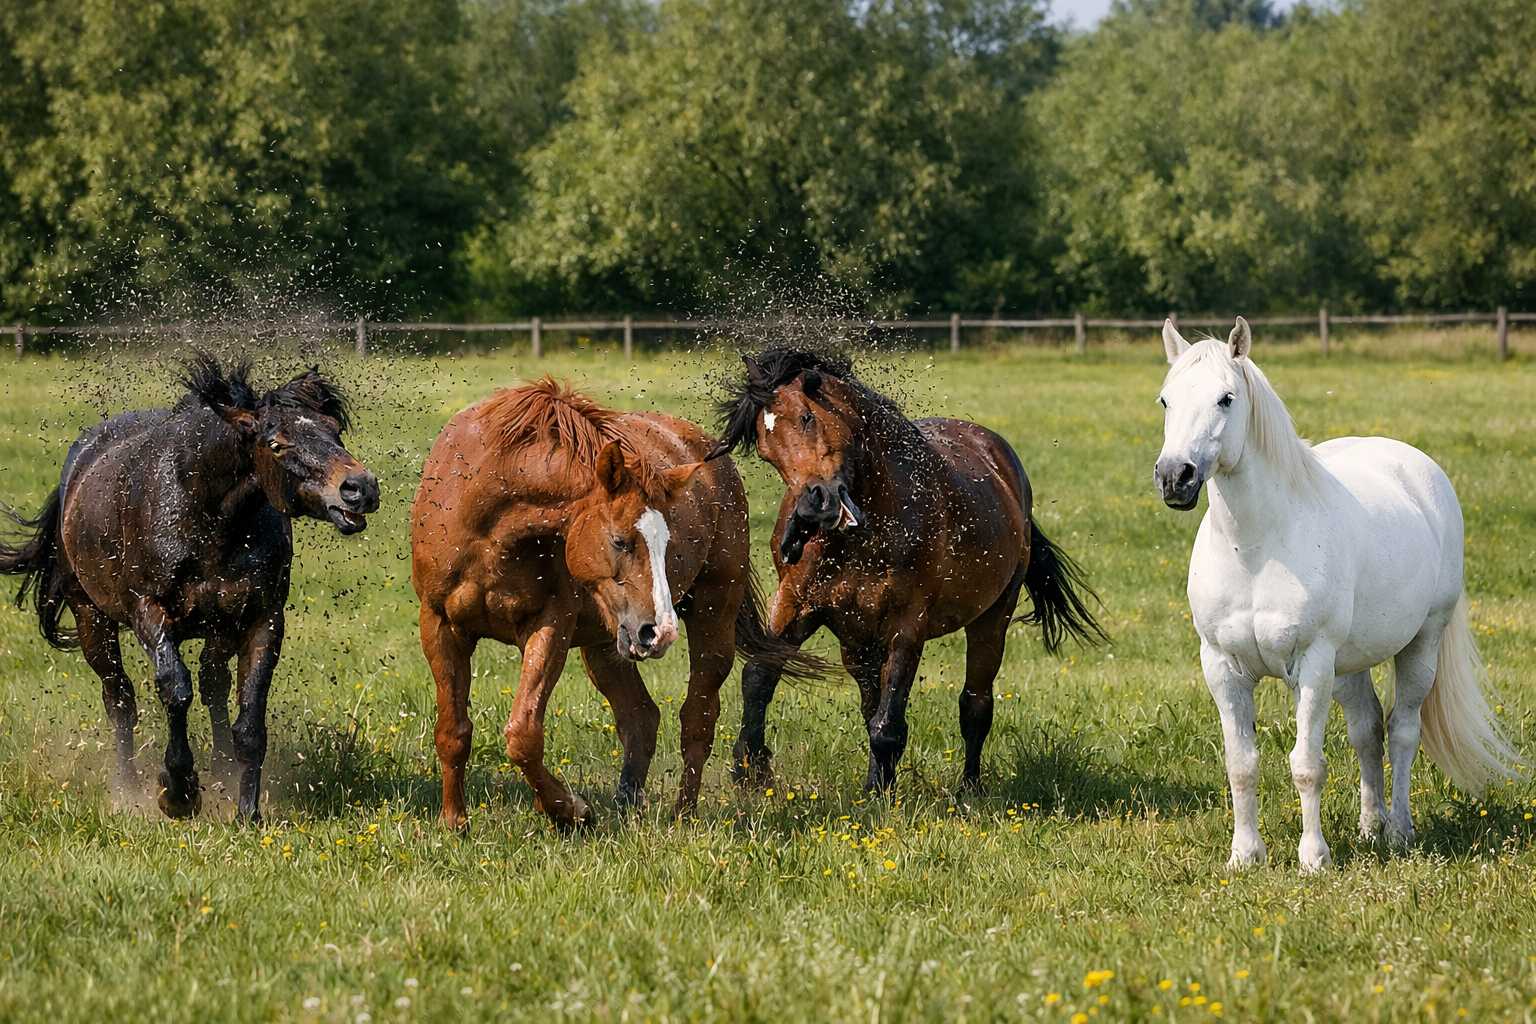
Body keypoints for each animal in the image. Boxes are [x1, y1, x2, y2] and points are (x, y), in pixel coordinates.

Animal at [0, 353, 379, 821]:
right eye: (276, 444)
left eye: (333, 429)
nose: (360, 489)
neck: (206, 516)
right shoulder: (149, 611)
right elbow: (175, 690)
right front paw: (178, 791)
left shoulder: (261, 619)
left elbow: (249, 719)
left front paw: (247, 812)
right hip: (92, 618)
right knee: (119, 697)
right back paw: (127, 789)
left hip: (218, 629)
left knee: (213, 684)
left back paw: (220, 771)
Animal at [410, 377, 820, 831]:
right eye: (621, 541)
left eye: (667, 543)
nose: (660, 630)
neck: (489, 523)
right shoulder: (440, 626)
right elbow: (453, 730)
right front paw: (454, 821)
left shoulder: (548, 626)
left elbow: (523, 734)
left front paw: (568, 810)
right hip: (608, 644)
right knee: (641, 717)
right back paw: (626, 805)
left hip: (711, 617)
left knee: (697, 718)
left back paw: (682, 813)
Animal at [711, 348, 1107, 793]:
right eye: (765, 450)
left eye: (807, 417)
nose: (816, 507)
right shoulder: (796, 605)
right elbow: (759, 677)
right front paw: (750, 768)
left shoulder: (907, 625)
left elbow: (889, 722)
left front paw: (875, 793)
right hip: (857, 643)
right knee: (872, 700)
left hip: (991, 617)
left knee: (975, 703)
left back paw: (969, 788)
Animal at [1155, 316, 1520, 871]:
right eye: (1166, 400)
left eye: (1226, 398)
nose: (1175, 476)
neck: (1257, 547)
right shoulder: (1222, 666)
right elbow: (1242, 764)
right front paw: (1245, 856)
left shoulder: (1311, 663)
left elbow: (1307, 763)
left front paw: (1314, 858)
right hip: (1348, 666)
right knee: (1368, 732)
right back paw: (1371, 829)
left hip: (1419, 645)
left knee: (1403, 730)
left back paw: (1400, 832)